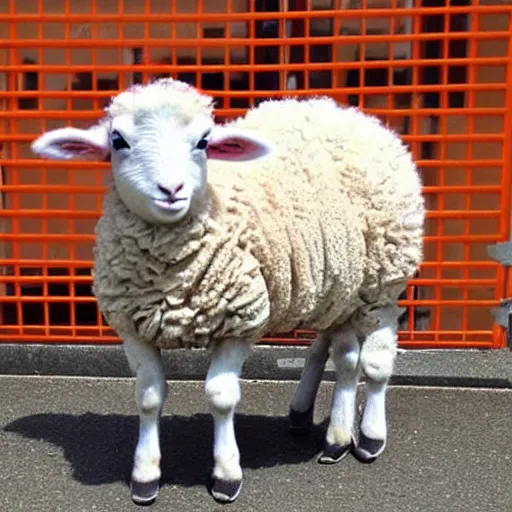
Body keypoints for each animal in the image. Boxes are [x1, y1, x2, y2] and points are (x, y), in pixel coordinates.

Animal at [30, 78, 426, 506]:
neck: (171, 276)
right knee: (341, 355)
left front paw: (226, 475)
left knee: (374, 361)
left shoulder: (240, 321)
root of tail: (347, 113)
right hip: (337, 288)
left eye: (204, 141)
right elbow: (148, 397)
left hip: (384, 279)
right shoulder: (132, 328)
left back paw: (368, 437)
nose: (171, 189)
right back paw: (324, 430)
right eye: (118, 140)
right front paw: (145, 476)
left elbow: (220, 397)